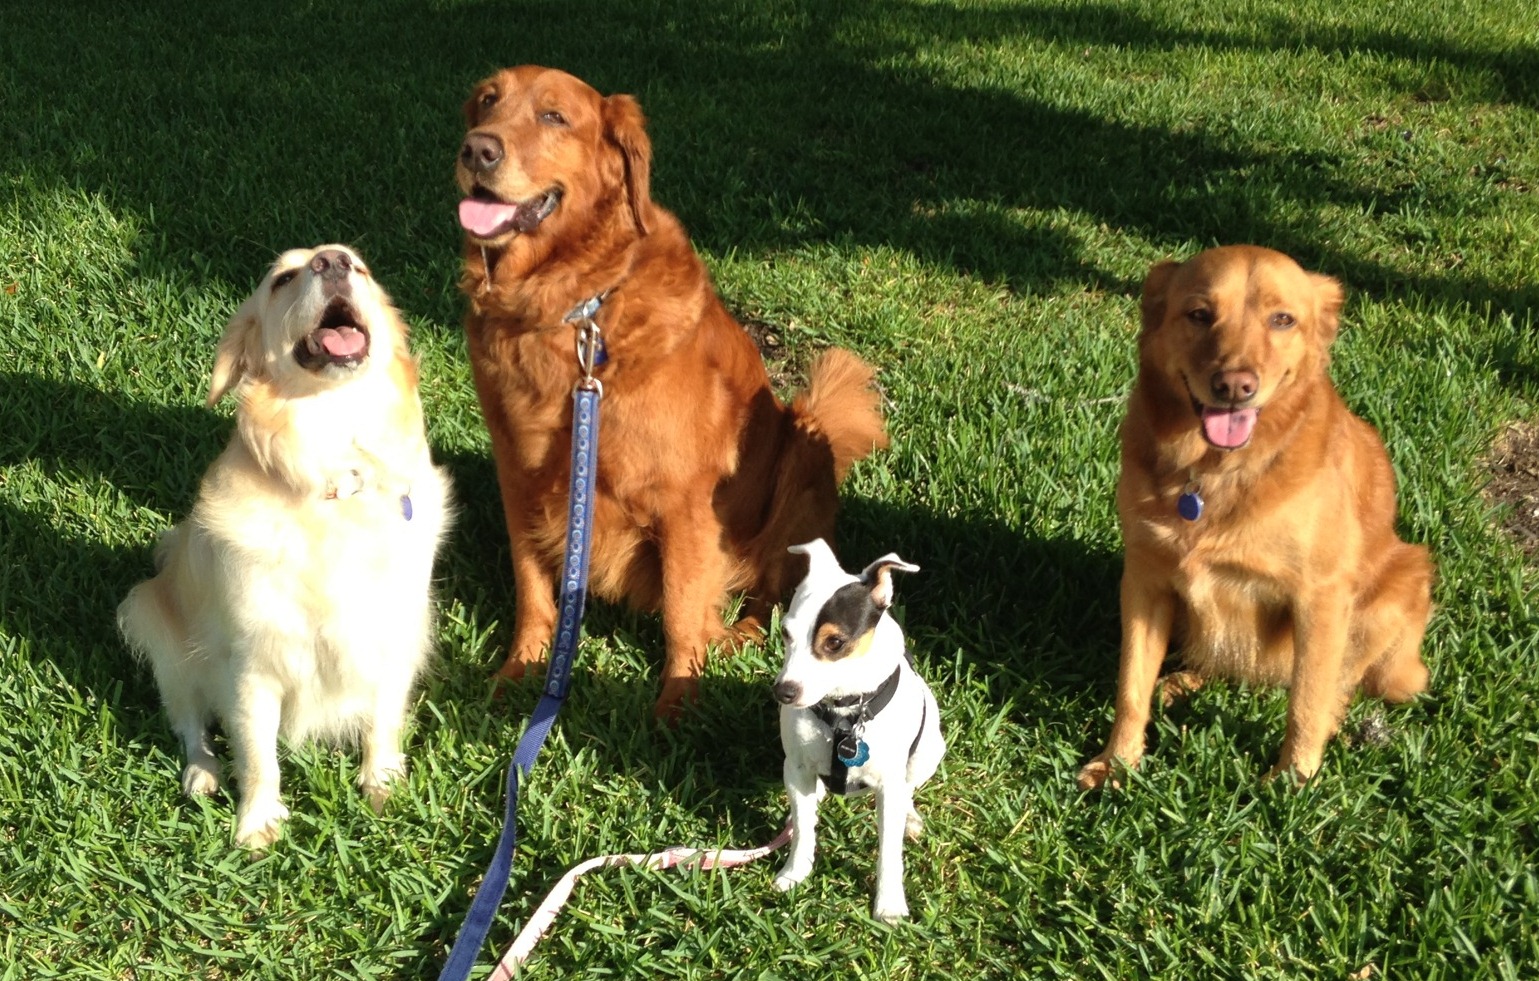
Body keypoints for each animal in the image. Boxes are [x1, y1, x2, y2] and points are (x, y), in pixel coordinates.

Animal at [116, 243, 452, 843]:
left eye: (361, 268)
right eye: (283, 279)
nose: (332, 260)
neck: (337, 478)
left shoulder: (393, 636)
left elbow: (384, 719)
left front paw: (382, 783)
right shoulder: (252, 662)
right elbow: (256, 754)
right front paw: (256, 823)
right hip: (150, 617)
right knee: (189, 722)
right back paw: (202, 773)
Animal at [452, 65, 892, 714]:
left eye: (554, 116)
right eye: (487, 101)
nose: (477, 150)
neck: (574, 309)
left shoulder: (686, 501)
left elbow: (682, 614)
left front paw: (676, 711)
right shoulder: (520, 479)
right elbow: (533, 591)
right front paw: (518, 675)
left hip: (799, 454)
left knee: (772, 597)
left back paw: (739, 639)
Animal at [766, 539, 935, 924]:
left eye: (835, 643)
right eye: (785, 633)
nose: (784, 692)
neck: (845, 710)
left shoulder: (889, 784)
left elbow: (889, 850)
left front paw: (889, 904)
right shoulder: (796, 766)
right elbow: (803, 831)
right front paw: (795, 873)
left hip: (930, 747)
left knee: (909, 788)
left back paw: (910, 816)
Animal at [1083, 244, 1428, 788]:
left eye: (1282, 319)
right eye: (1199, 314)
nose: (1234, 385)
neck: (1213, 474)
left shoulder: (1320, 597)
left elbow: (1307, 700)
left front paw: (1293, 782)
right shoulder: (1145, 580)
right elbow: (1131, 686)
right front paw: (1117, 763)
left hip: (1402, 582)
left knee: (1338, 686)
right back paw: (1179, 683)